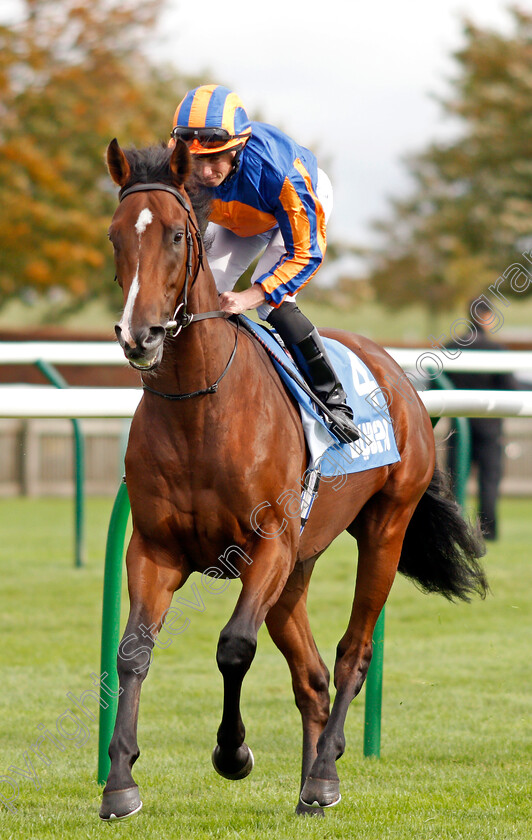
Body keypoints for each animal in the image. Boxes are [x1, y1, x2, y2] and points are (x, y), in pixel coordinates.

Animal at [98, 139, 486, 820]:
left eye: (176, 234)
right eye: (116, 236)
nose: (138, 335)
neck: (199, 407)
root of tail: (397, 375)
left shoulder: (269, 545)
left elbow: (233, 646)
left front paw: (234, 754)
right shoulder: (155, 548)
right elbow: (133, 651)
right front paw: (120, 782)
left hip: (385, 528)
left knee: (353, 653)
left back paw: (326, 772)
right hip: (299, 568)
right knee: (312, 674)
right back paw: (310, 784)